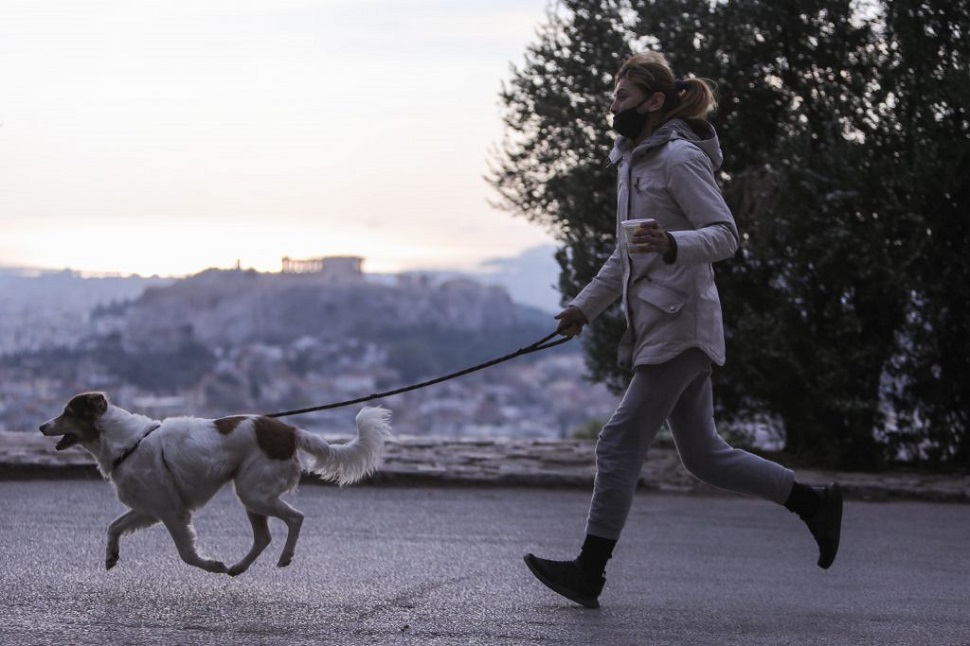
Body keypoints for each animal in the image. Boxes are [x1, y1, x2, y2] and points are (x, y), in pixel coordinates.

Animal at [40, 392, 390, 580]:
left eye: (67, 412)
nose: (42, 426)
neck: (127, 441)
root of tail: (289, 430)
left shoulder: (171, 512)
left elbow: (187, 554)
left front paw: (212, 565)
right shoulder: (148, 509)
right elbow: (113, 526)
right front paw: (111, 556)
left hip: (253, 492)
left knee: (296, 518)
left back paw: (284, 557)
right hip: (250, 494)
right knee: (263, 536)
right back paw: (239, 567)